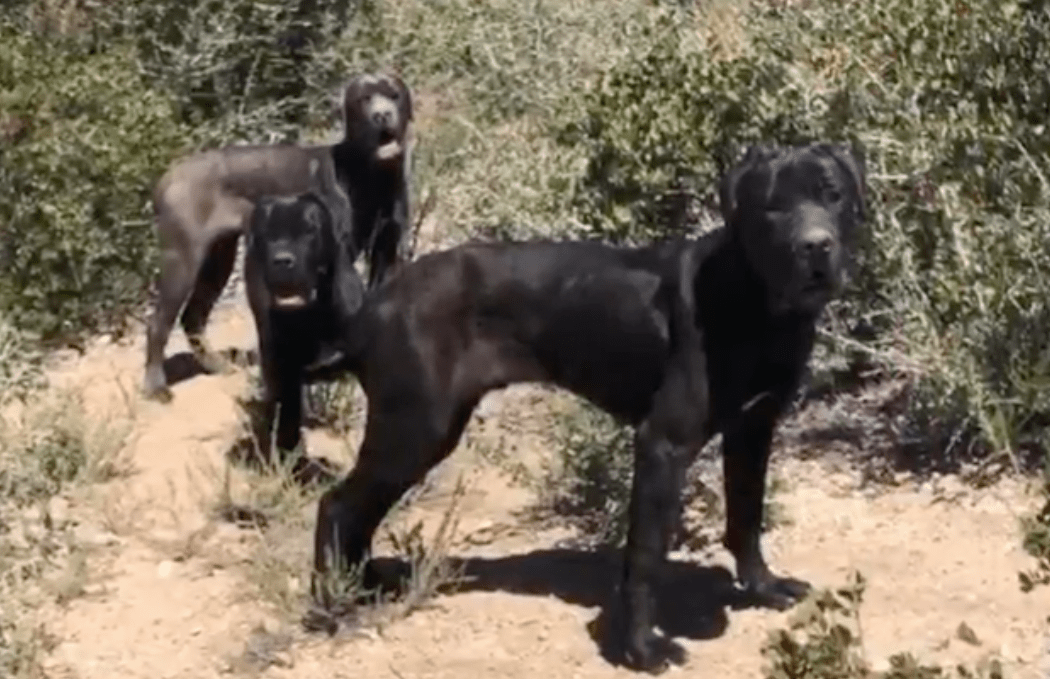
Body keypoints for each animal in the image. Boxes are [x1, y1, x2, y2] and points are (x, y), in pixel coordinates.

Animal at [141, 72, 411, 402]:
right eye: (364, 99)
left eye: (393, 94)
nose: (382, 115)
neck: (371, 174)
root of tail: (168, 177)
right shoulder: (339, 257)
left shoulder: (387, 250)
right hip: (183, 259)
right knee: (158, 323)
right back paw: (156, 388)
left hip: (219, 258)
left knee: (193, 317)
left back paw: (218, 366)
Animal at [244, 185, 367, 472]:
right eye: (266, 234)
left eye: (309, 231)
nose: (282, 260)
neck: (311, 317)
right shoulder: (284, 374)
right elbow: (288, 425)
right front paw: (294, 468)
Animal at [306, 143, 865, 675]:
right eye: (771, 207)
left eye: (832, 194)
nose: (815, 245)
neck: (753, 299)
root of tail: (374, 306)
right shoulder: (664, 443)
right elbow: (646, 553)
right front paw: (641, 648)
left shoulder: (753, 429)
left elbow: (746, 517)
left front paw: (764, 588)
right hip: (416, 427)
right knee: (337, 505)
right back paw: (331, 603)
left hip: (422, 430)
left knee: (360, 509)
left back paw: (364, 585)